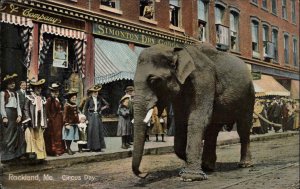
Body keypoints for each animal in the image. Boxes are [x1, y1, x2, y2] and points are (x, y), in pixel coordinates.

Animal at [132, 42, 254, 181]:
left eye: (153, 80)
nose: (144, 173)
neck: (176, 51)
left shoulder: (204, 80)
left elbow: (197, 119)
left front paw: (190, 176)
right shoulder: (179, 93)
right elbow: (181, 121)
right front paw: (188, 167)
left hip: (249, 96)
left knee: (243, 128)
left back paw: (245, 164)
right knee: (213, 130)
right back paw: (208, 166)